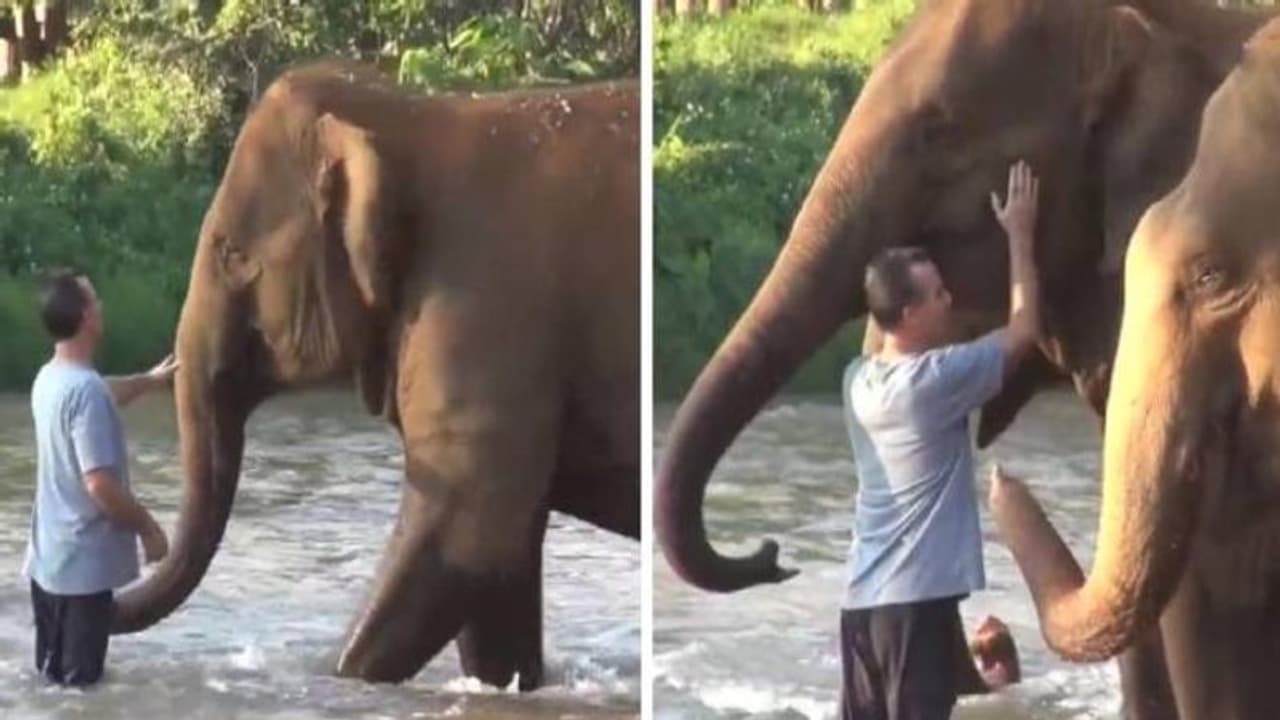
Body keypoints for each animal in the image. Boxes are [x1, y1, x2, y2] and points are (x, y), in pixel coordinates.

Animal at [106, 61, 640, 690]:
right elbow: (500, 565)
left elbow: (469, 525)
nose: (148, 550)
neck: (404, 113)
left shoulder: (484, 313)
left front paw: (334, 681)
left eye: (232, 255)